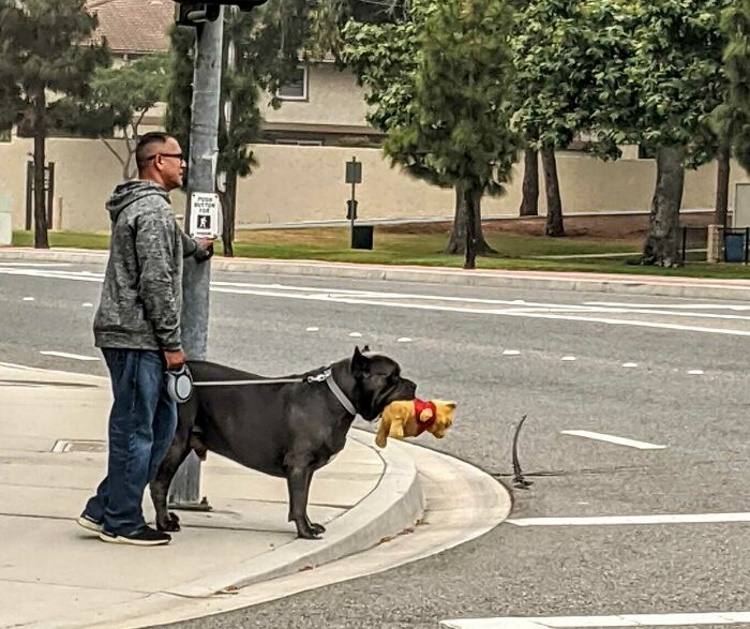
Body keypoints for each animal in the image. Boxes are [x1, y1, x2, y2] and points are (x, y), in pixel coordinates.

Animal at [147, 346, 418, 536]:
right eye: (392, 377)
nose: (413, 384)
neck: (336, 396)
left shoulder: (306, 470)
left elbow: (303, 499)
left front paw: (309, 525)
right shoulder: (299, 465)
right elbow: (298, 501)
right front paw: (305, 532)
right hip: (176, 444)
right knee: (159, 484)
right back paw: (165, 523)